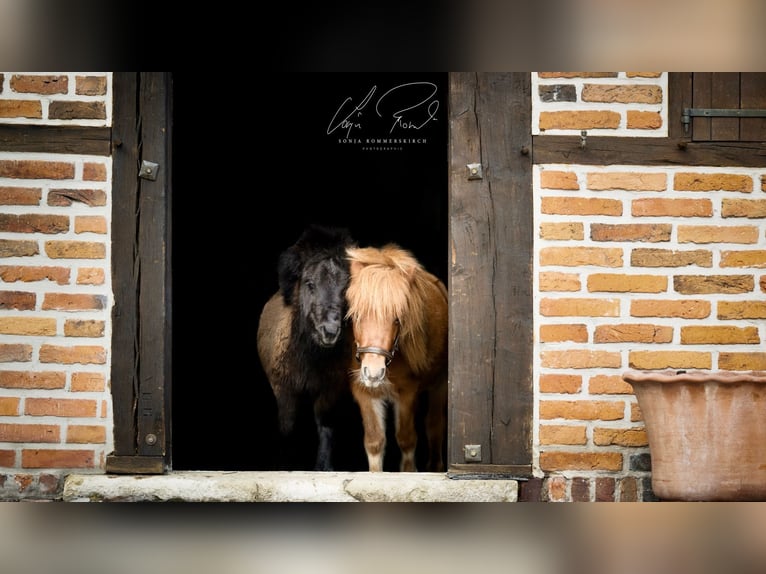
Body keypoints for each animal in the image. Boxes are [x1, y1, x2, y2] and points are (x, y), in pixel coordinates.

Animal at [255, 225, 356, 472]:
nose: (329, 331)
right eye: (310, 283)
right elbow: (288, 429)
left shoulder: (329, 391)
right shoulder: (284, 392)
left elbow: (325, 427)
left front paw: (324, 467)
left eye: (345, 288)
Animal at [344, 245, 448, 474]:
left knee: (434, 425)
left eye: (397, 319)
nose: (374, 372)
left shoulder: (407, 393)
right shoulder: (364, 392)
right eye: (356, 316)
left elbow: (407, 440)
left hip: (440, 384)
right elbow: (374, 442)